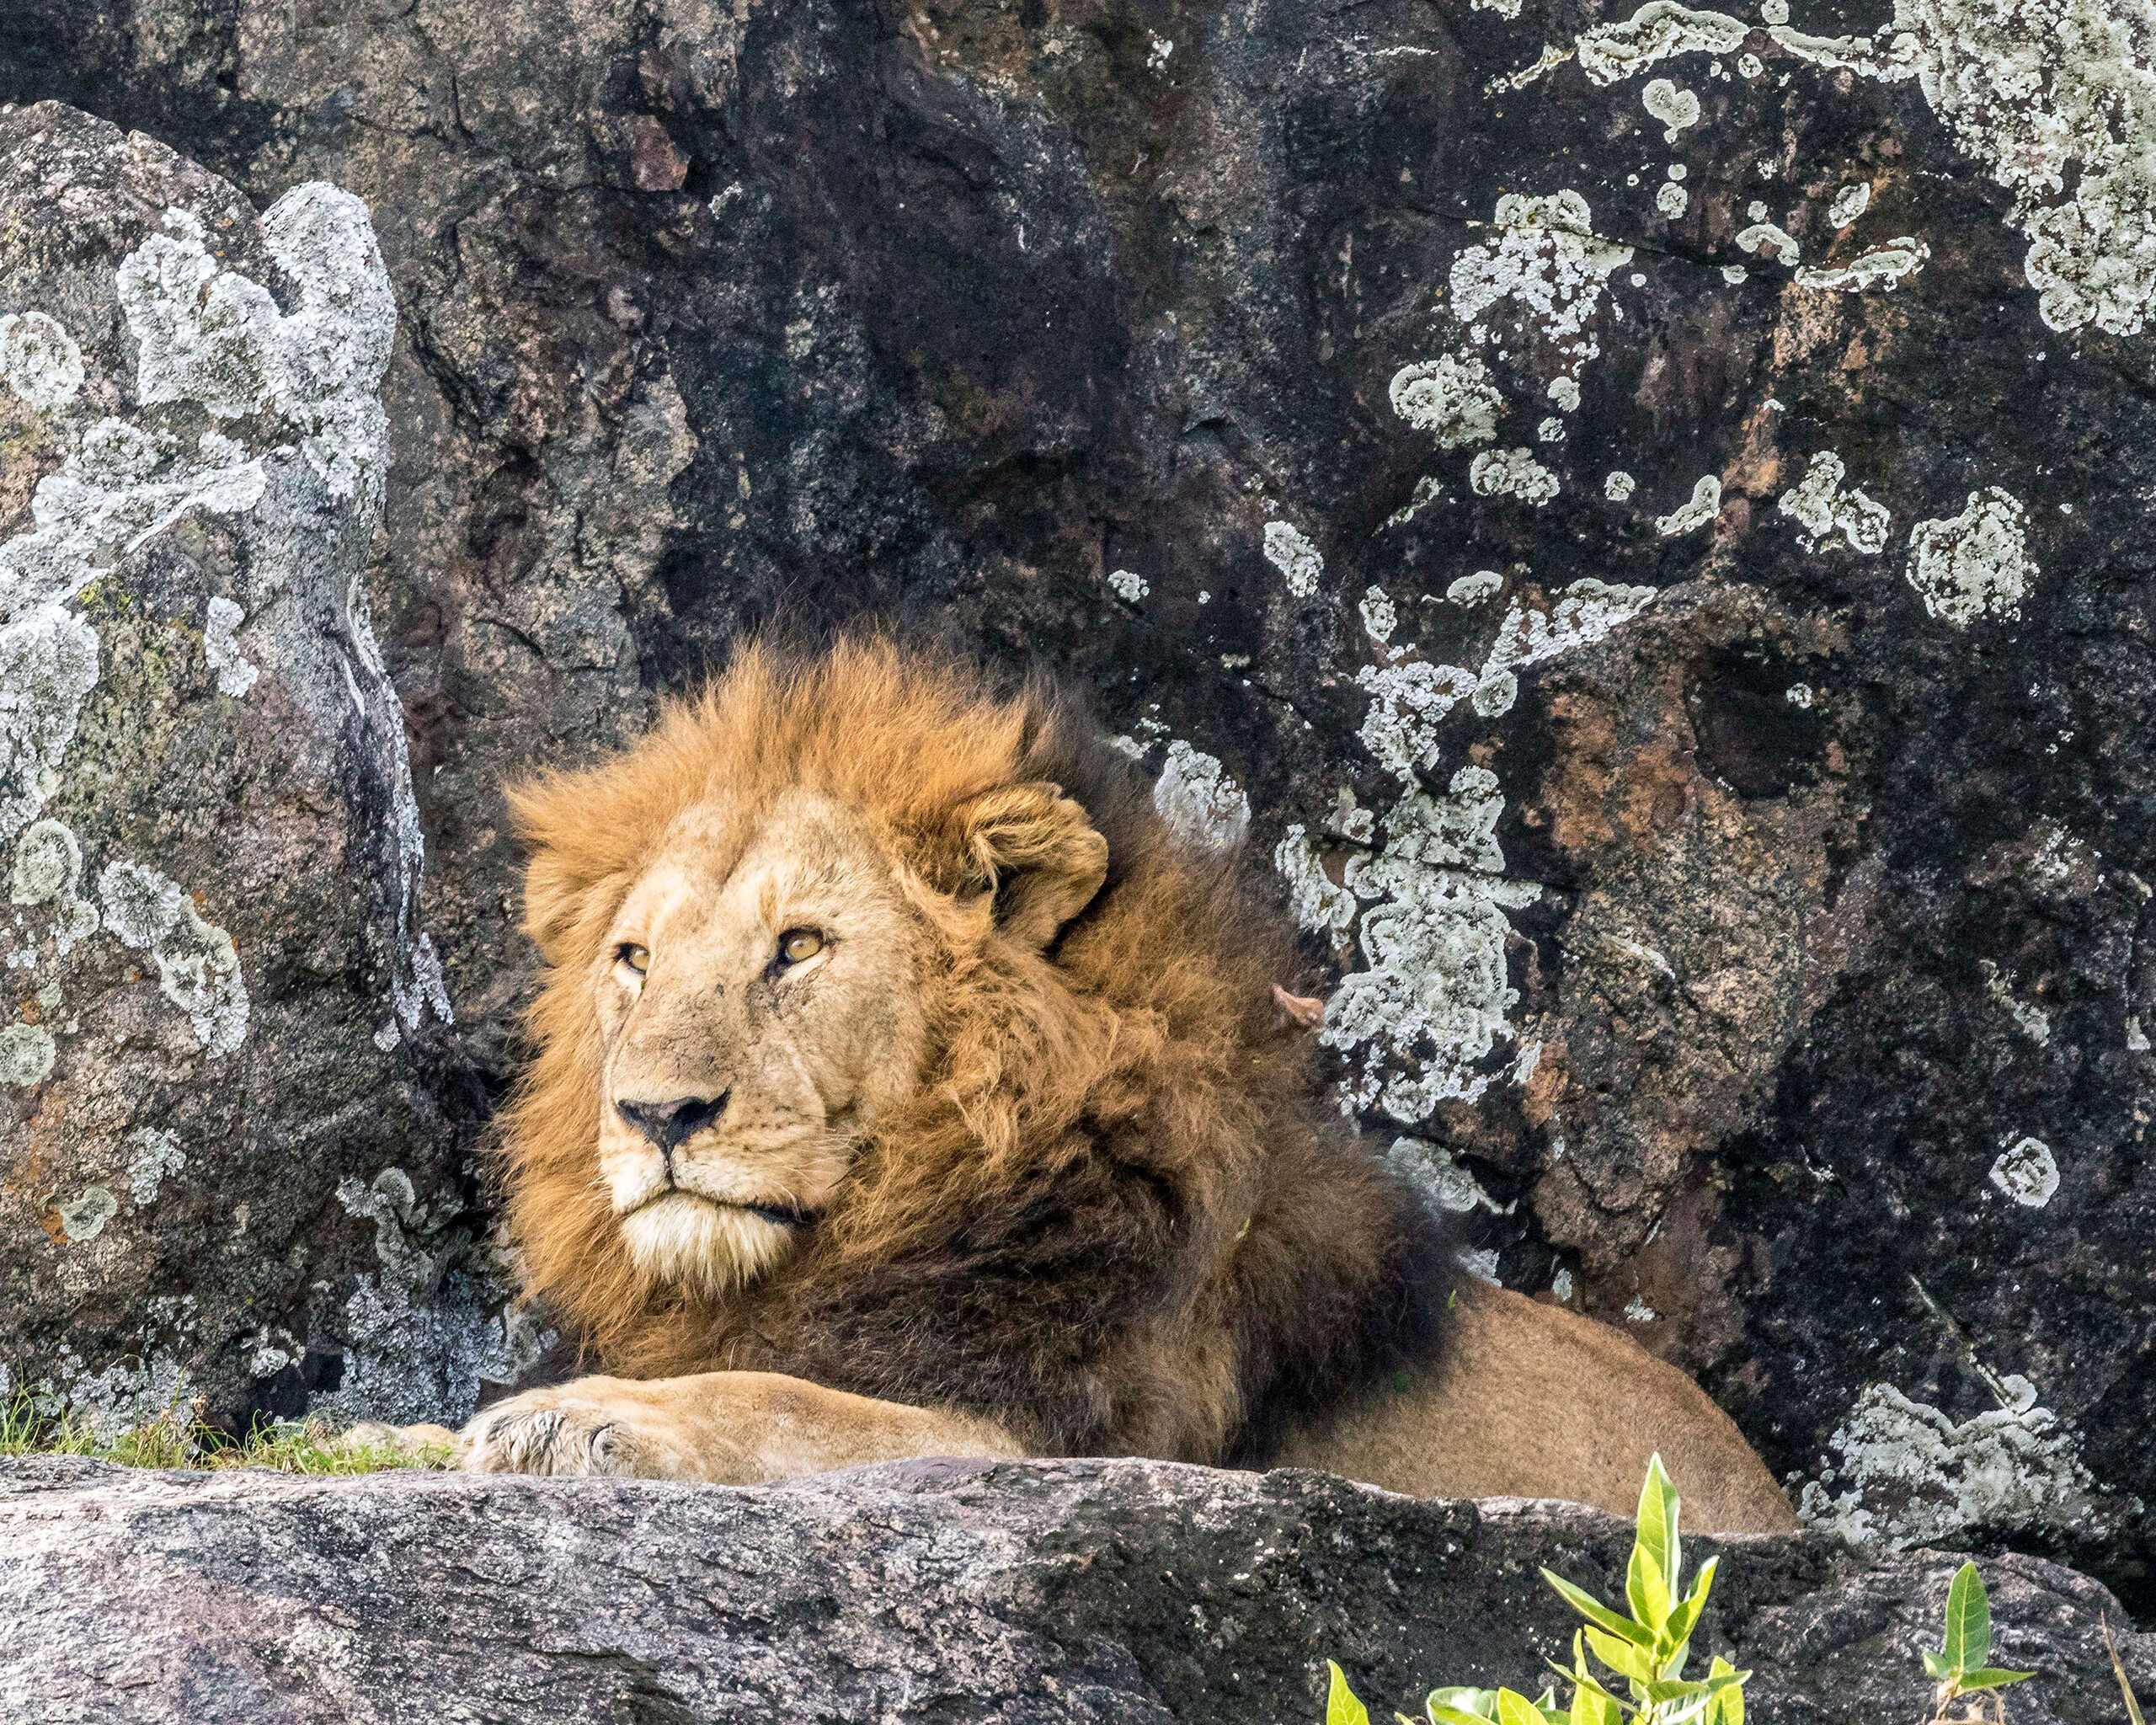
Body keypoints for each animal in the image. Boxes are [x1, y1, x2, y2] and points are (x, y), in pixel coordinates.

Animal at [387, 637, 1796, 1533]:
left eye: (799, 949)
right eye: (634, 961)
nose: (657, 1116)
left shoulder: (1058, 1446)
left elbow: (777, 1399)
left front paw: (575, 1418)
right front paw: (434, 1436)